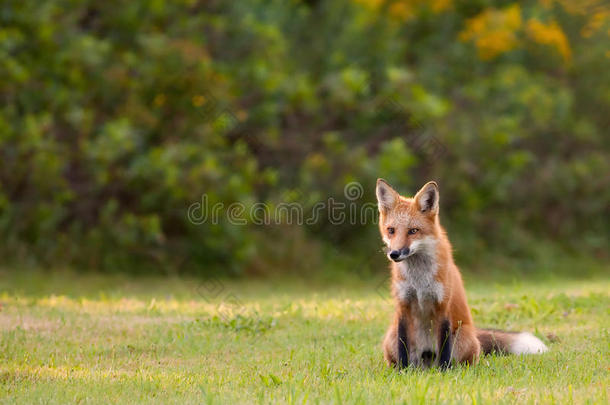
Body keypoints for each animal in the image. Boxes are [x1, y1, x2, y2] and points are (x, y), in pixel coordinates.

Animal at [376, 178, 548, 368]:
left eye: (413, 231)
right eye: (391, 230)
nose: (394, 254)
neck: (418, 280)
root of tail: (427, 359)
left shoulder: (443, 305)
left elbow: (444, 348)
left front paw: (444, 370)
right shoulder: (403, 306)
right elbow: (403, 347)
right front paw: (403, 371)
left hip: (462, 337)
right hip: (391, 338)